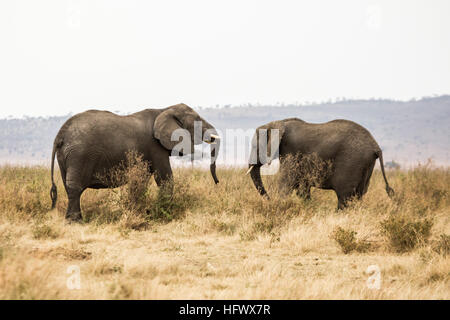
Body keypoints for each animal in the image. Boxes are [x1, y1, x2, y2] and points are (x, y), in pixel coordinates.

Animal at [50, 104, 219, 221]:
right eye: (198, 121)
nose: (217, 182)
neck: (164, 109)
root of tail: (60, 135)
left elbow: (141, 181)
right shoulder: (155, 146)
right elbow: (164, 179)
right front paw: (161, 214)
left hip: (66, 156)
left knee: (69, 186)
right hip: (79, 154)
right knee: (75, 187)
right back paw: (75, 222)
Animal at [246, 117, 394, 210]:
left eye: (254, 146)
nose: (269, 199)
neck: (279, 122)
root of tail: (376, 146)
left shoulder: (291, 152)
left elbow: (287, 181)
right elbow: (302, 187)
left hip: (352, 161)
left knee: (344, 196)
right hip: (366, 164)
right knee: (359, 194)